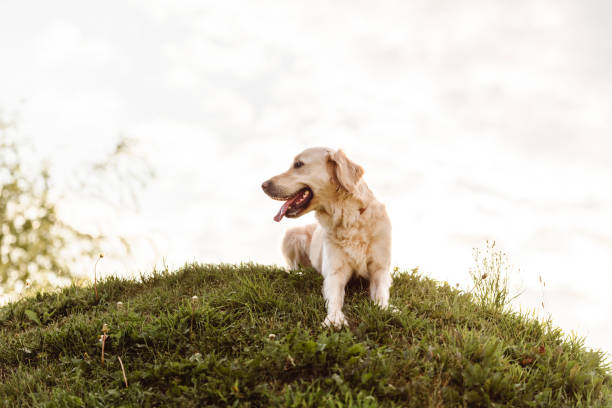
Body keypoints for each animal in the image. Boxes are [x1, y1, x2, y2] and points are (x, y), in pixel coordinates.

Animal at [262, 147, 392, 328]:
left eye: (298, 164)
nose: (263, 185)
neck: (349, 220)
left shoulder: (380, 269)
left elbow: (381, 293)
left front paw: (385, 309)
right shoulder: (334, 272)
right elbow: (335, 298)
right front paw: (335, 317)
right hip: (291, 234)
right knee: (293, 268)